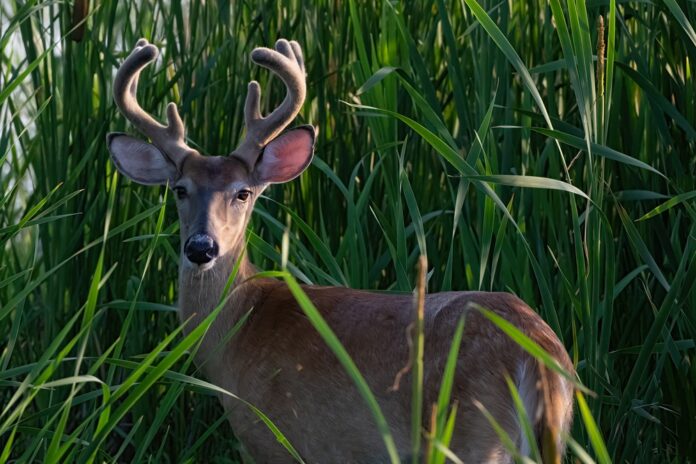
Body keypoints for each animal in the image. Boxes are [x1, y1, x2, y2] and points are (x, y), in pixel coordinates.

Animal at [106, 38, 574, 463]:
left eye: (243, 192)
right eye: (180, 190)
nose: (201, 247)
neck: (237, 327)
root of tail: (537, 353)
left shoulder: (272, 437)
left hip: (469, 433)